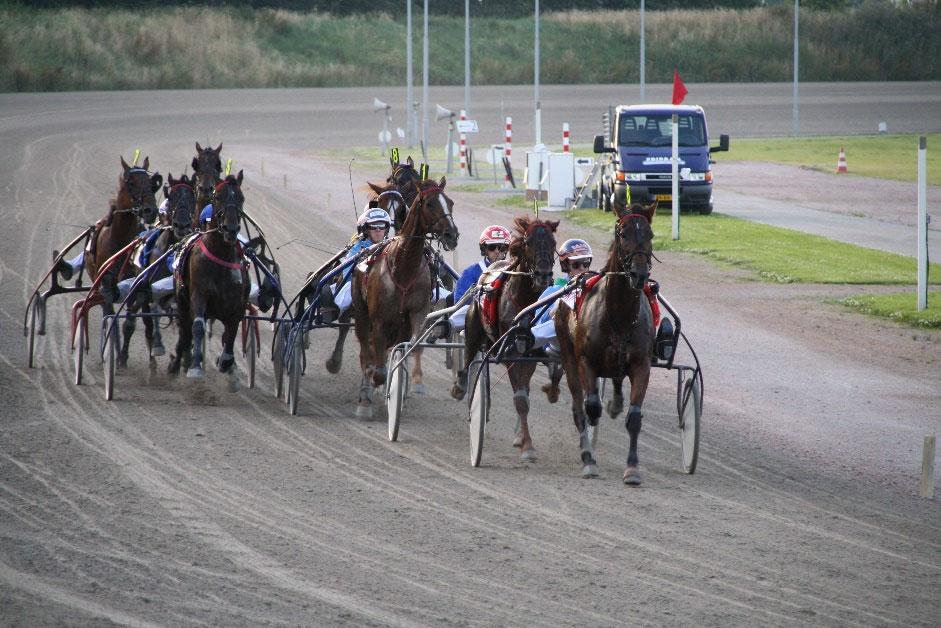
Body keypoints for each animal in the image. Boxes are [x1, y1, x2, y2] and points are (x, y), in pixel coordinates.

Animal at [84, 155, 162, 366]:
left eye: (151, 183)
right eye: (131, 183)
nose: (150, 210)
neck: (119, 240)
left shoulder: (135, 282)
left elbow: (131, 318)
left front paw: (124, 356)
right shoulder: (106, 282)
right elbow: (111, 315)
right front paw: (114, 353)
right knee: (107, 310)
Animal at [170, 173, 248, 388]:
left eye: (241, 198)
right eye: (218, 197)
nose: (231, 229)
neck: (221, 254)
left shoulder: (237, 305)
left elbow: (231, 334)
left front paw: (227, 364)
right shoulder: (199, 294)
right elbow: (197, 327)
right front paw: (195, 367)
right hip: (182, 302)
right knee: (185, 331)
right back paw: (178, 364)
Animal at [350, 177, 458, 418]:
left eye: (450, 202)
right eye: (429, 204)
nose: (452, 235)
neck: (403, 266)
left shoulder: (416, 313)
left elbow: (413, 347)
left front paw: (409, 385)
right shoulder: (379, 320)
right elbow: (377, 366)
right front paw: (376, 386)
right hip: (362, 315)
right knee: (365, 352)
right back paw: (365, 398)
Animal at [450, 216, 560, 462]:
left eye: (553, 242)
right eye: (528, 242)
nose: (544, 275)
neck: (524, 302)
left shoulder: (527, 353)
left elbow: (524, 394)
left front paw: (523, 439)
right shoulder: (511, 354)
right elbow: (520, 400)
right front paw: (527, 447)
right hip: (473, 328)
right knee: (469, 358)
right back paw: (460, 387)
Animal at [552, 204, 652, 484]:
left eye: (650, 234)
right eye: (623, 234)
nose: (639, 274)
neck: (618, 315)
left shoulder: (642, 363)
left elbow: (634, 417)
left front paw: (632, 468)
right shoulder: (585, 361)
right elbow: (590, 408)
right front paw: (589, 459)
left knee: (616, 380)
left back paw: (615, 403)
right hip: (569, 356)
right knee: (579, 405)